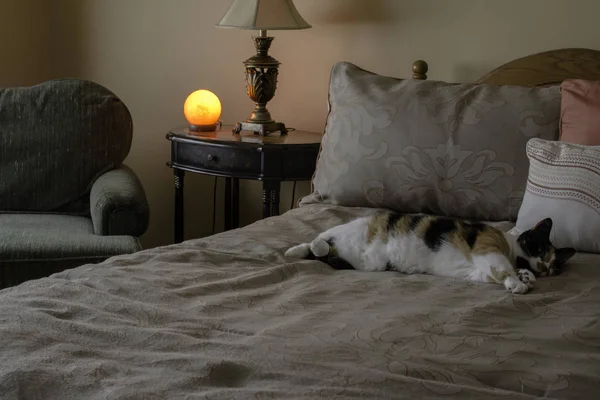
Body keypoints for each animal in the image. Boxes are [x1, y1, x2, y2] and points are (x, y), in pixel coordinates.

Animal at [284, 212, 576, 294]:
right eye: (539, 248)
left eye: (553, 266)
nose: (542, 267)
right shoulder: (488, 248)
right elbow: (504, 266)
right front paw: (519, 282)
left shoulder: (480, 271)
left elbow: (499, 272)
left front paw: (526, 276)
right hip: (352, 229)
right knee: (319, 239)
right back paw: (295, 250)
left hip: (364, 262)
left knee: (324, 253)